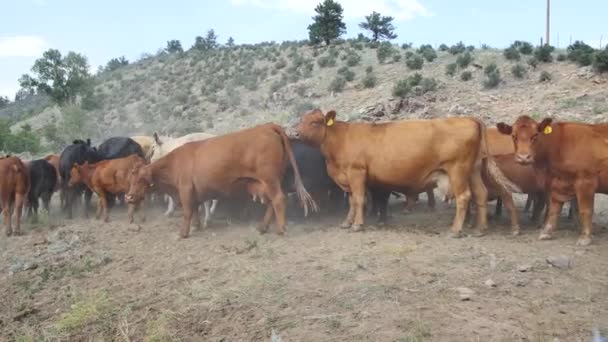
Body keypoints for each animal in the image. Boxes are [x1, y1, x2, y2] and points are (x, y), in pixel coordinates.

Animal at [123, 123, 314, 238]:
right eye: (130, 178)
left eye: (140, 179)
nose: (128, 197)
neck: (175, 160)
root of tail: (267, 126)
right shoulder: (194, 192)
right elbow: (196, 210)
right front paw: (197, 225)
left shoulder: (185, 189)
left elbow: (187, 211)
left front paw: (183, 232)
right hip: (267, 183)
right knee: (271, 204)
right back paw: (262, 227)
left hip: (270, 179)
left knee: (279, 200)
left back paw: (280, 229)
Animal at [294, 110, 516, 238]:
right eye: (301, 120)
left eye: (315, 122)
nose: (295, 133)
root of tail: (470, 119)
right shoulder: (346, 178)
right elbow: (351, 202)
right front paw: (347, 223)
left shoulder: (356, 173)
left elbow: (358, 200)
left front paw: (357, 225)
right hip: (473, 170)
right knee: (480, 194)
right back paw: (480, 229)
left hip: (457, 169)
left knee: (464, 197)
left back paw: (456, 230)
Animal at [496, 116, 608, 244]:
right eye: (514, 136)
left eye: (535, 135)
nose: (523, 157)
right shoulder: (557, 184)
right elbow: (554, 210)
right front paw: (546, 232)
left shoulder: (586, 182)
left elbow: (585, 210)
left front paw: (585, 237)